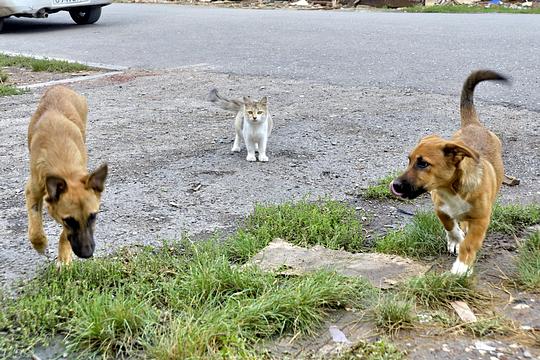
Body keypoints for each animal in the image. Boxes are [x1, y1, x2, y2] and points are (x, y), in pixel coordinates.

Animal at [25, 85, 108, 268]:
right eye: (70, 220)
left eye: (93, 216)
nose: (87, 254)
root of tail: (60, 87)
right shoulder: (32, 191)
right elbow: (35, 229)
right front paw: (41, 245)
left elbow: (64, 235)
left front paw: (64, 258)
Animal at [390, 70, 508, 276]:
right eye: (409, 160)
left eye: (423, 164)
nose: (395, 185)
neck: (451, 189)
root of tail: (473, 124)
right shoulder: (440, 207)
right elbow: (449, 225)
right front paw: (456, 240)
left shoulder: (481, 219)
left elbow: (470, 244)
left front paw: (461, 268)